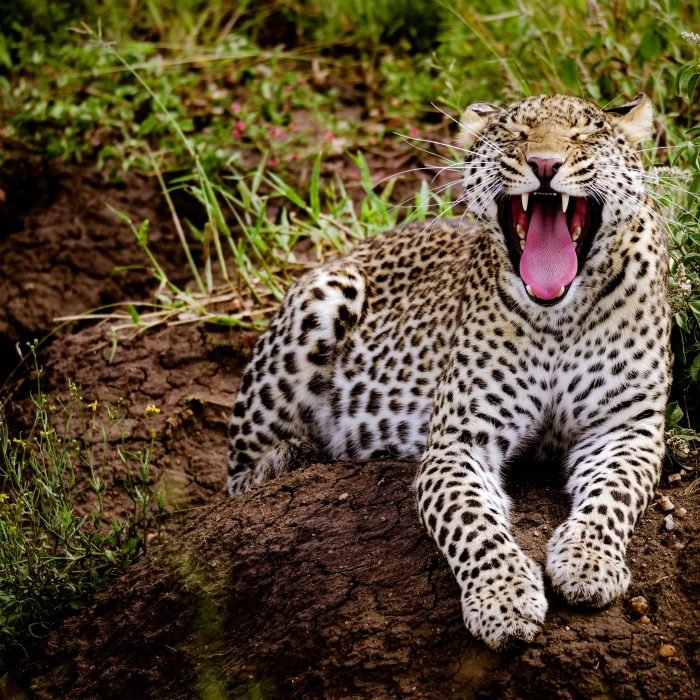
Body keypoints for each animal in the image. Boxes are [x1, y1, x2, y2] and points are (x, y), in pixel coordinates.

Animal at [227, 93, 671, 650]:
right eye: (516, 134)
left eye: (582, 136)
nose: (545, 164)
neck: (557, 317)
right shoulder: (458, 442)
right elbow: (471, 522)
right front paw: (503, 600)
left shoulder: (626, 429)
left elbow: (614, 495)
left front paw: (587, 562)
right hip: (323, 295)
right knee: (239, 479)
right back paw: (296, 458)